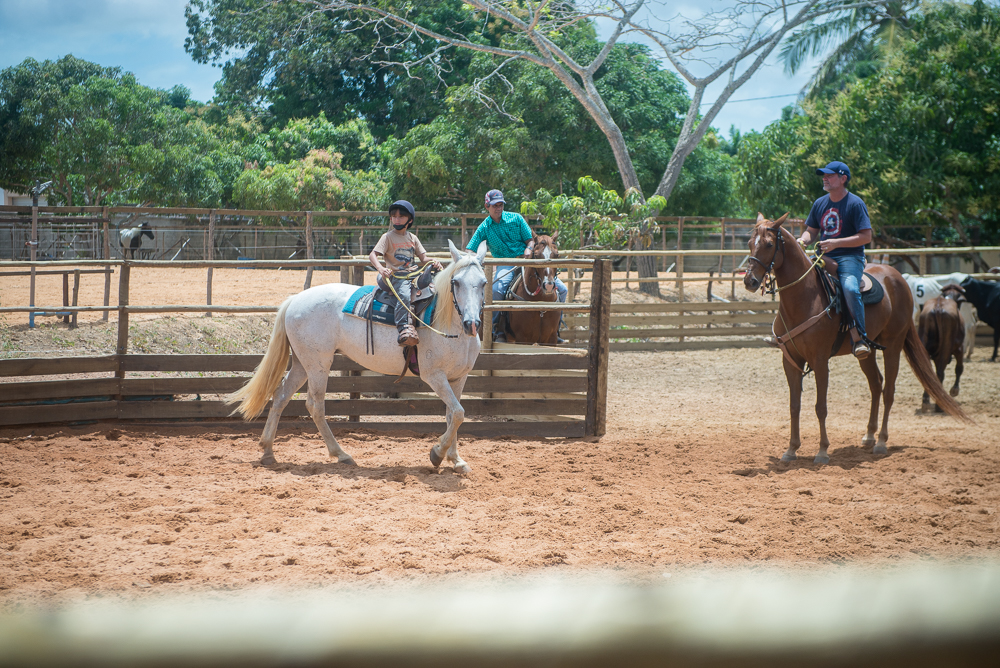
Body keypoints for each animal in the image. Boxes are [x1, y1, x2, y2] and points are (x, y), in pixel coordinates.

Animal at [230, 239, 488, 470]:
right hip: (318, 364)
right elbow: (458, 413)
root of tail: (295, 300)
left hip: (303, 364)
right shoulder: (434, 376)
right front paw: (437, 454)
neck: (445, 322)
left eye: (484, 283)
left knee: (281, 396)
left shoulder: (458, 378)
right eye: (456, 282)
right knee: (315, 405)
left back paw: (268, 451)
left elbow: (452, 414)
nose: (471, 323)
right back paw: (341, 455)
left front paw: (455, 460)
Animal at [744, 214, 968, 464]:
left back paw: (881, 442)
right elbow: (794, 405)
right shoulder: (790, 361)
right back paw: (869, 436)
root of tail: (899, 279)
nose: (750, 281)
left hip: (893, 344)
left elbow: (820, 407)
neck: (805, 297)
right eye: (750, 243)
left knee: (888, 390)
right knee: (876, 384)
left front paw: (822, 451)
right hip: (867, 351)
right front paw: (791, 449)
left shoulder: (820, 361)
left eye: (769, 244)